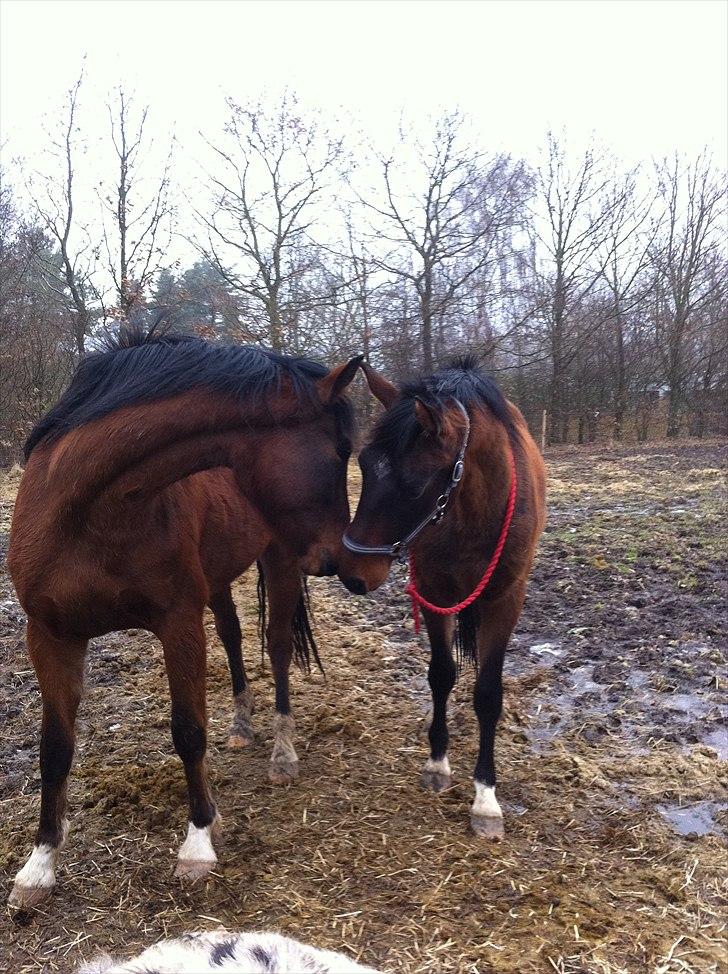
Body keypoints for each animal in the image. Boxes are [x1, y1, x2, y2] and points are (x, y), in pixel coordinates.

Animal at [8, 332, 362, 912]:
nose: (340, 559)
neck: (88, 511)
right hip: (220, 579)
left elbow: (188, 731)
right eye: (340, 451)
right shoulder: (51, 636)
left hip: (282, 561)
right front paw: (39, 865)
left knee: (277, 647)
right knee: (234, 635)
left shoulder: (178, 625)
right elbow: (55, 748)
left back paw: (282, 752)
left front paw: (197, 842)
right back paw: (241, 726)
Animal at [338, 356, 544, 840]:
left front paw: (486, 797)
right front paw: (437, 762)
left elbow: (488, 693)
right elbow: (441, 674)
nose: (352, 574)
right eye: (363, 464)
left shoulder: (505, 600)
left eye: (413, 483)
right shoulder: (434, 592)